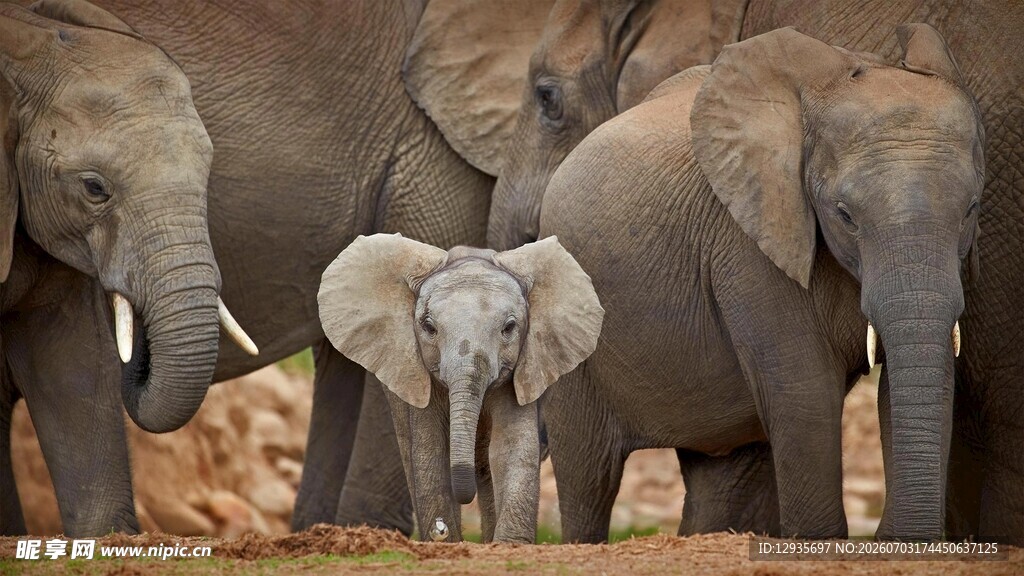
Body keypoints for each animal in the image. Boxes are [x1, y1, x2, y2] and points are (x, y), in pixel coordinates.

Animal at [316, 234, 603, 543]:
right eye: (428, 327)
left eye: (509, 327)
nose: (440, 528)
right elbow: (431, 451)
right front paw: (446, 539)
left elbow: (511, 448)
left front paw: (508, 545)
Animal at [537, 25, 984, 542]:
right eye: (845, 215)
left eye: (971, 210)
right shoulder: (748, 247)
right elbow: (805, 397)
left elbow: (909, 382)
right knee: (589, 475)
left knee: (718, 475)